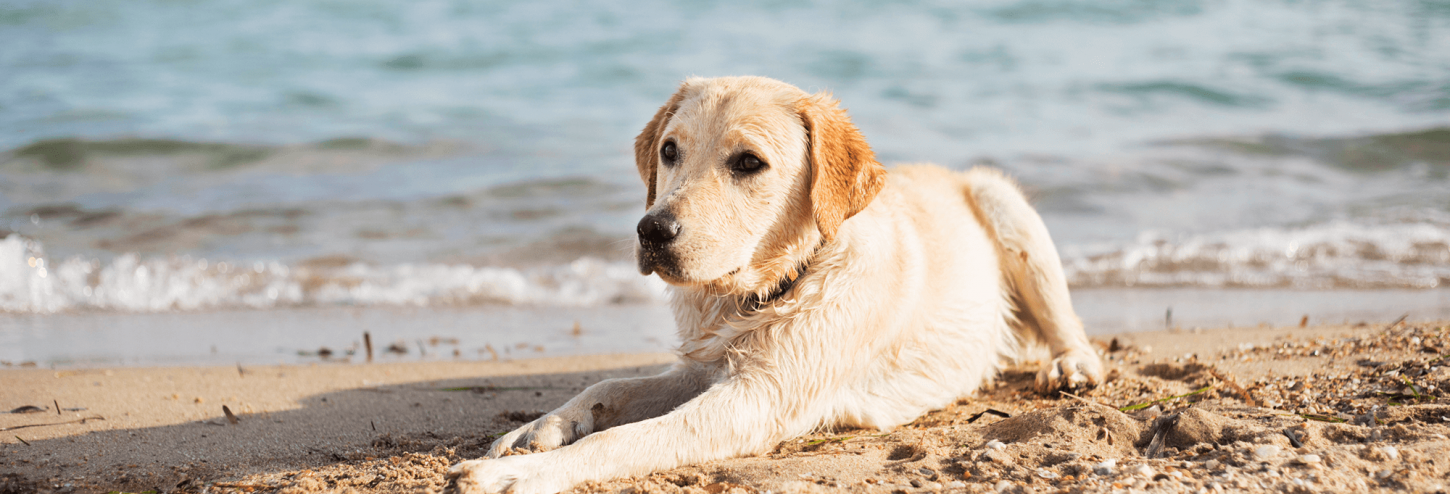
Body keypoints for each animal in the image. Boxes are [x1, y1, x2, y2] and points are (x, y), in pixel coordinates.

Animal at [446, 74, 1102, 489]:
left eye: (748, 163)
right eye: (669, 150)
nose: (652, 229)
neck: (763, 292)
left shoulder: (757, 398)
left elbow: (622, 441)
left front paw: (513, 475)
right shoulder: (705, 368)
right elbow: (609, 386)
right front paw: (534, 431)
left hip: (1004, 204)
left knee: (1069, 325)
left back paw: (1070, 367)